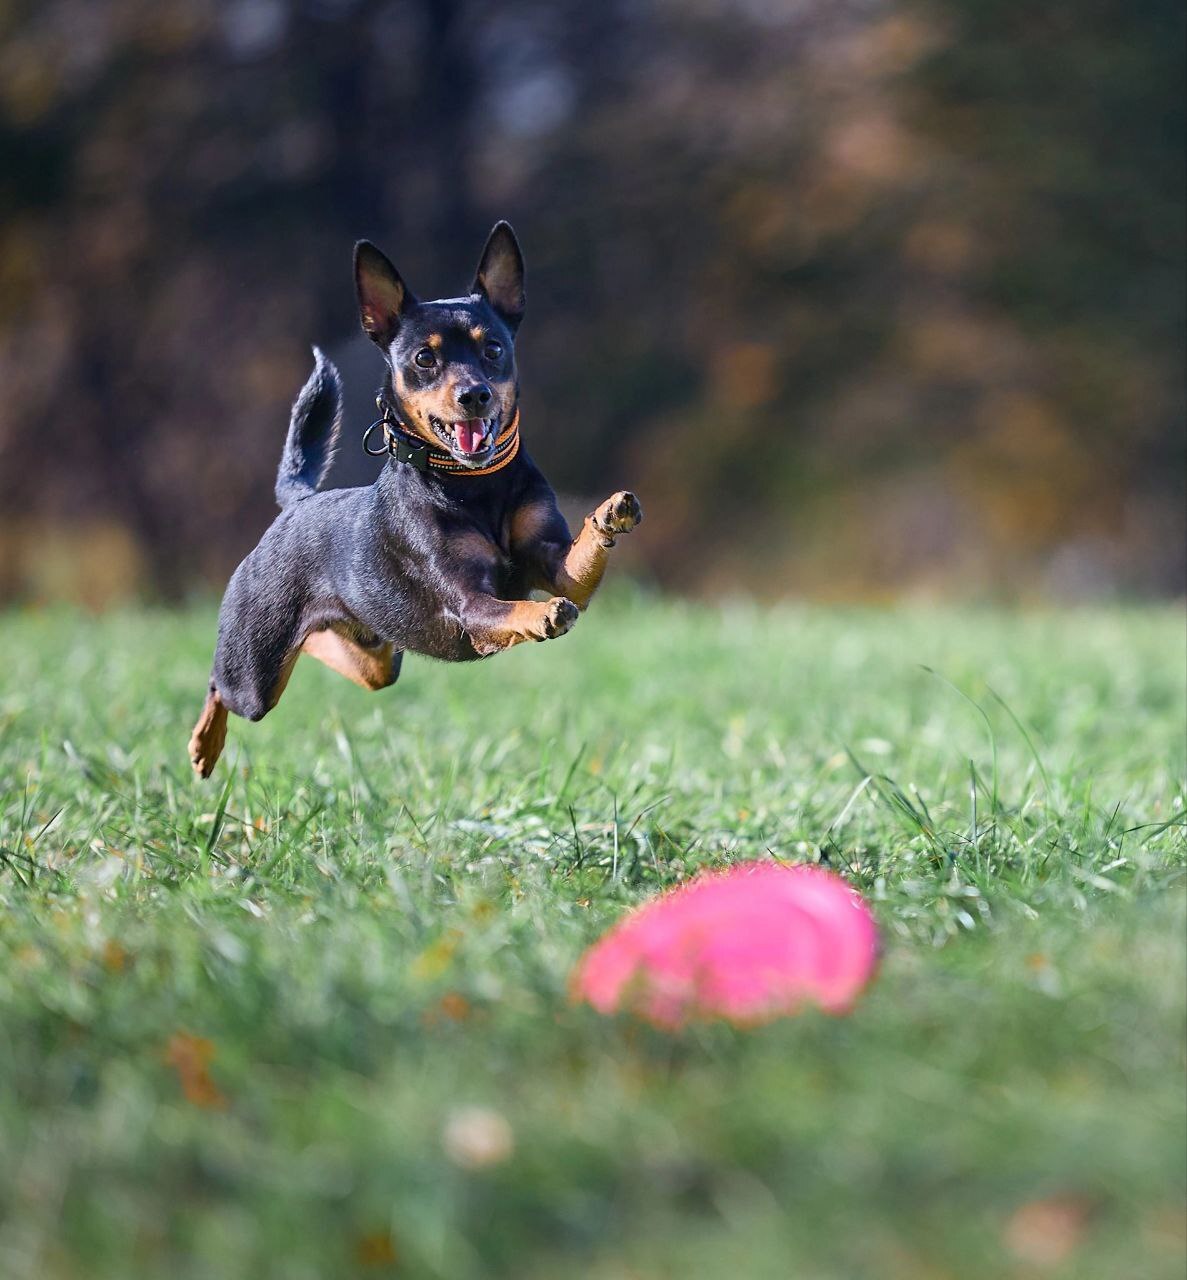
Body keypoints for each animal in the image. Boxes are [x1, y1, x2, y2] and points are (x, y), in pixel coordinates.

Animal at [188, 224, 640, 773]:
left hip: (379, 654)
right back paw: (204, 745)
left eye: (493, 349)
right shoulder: (471, 606)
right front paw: (542, 615)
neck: (473, 484)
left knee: (329, 650)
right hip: (255, 672)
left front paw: (608, 516)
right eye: (425, 358)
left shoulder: (557, 567)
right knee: (222, 683)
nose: (474, 395)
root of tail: (296, 503)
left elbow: (578, 560)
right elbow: (514, 610)